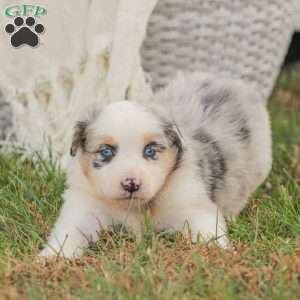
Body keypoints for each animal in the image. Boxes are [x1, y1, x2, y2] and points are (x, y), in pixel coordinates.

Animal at [39, 72, 272, 258]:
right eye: (106, 152)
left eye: (150, 151)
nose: (131, 184)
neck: (139, 207)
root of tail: (231, 81)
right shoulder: (85, 207)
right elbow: (68, 233)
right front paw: (51, 259)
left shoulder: (192, 204)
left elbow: (209, 233)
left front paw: (221, 255)